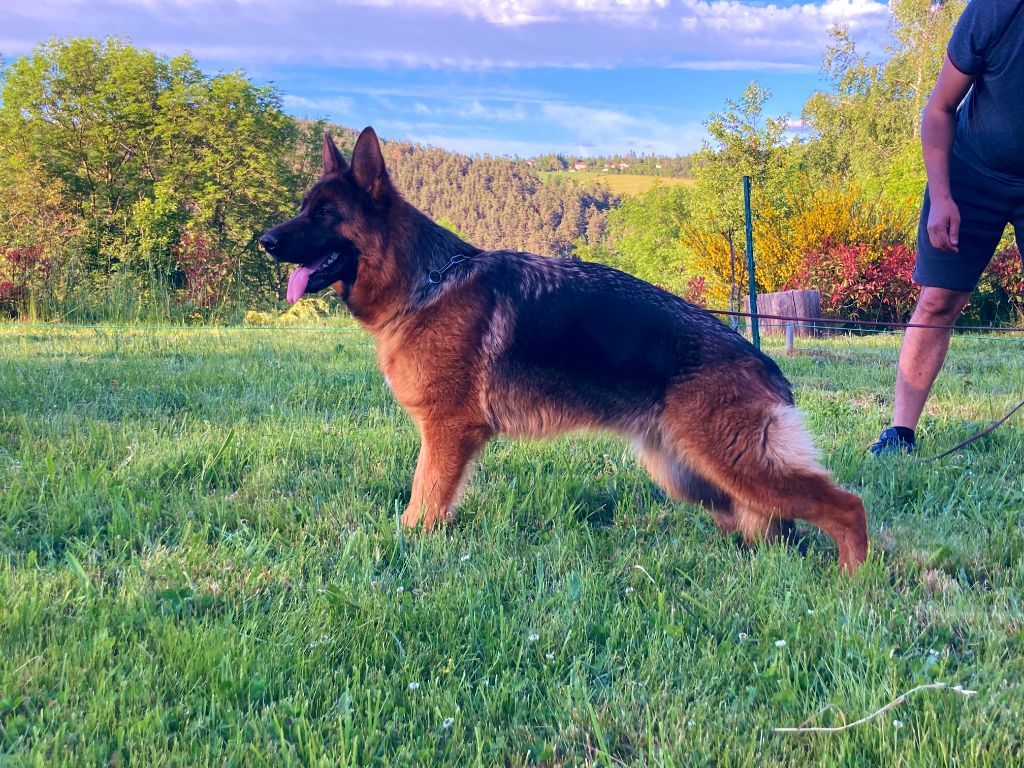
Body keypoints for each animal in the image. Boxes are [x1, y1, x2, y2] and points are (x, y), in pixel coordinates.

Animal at [260, 128, 868, 573]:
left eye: (323, 214)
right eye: (304, 208)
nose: (263, 241)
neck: (425, 283)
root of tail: (766, 364)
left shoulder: (447, 431)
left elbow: (424, 497)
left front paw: (407, 543)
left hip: (733, 463)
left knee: (847, 506)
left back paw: (854, 583)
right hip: (690, 473)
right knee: (762, 525)